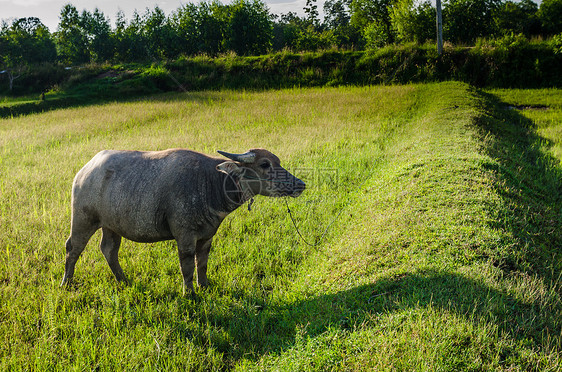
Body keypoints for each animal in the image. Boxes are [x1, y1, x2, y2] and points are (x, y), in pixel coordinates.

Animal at [60, 149, 304, 294]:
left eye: (277, 162)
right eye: (265, 164)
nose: (300, 184)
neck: (211, 182)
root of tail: (84, 171)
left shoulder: (207, 235)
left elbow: (202, 262)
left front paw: (203, 286)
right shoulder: (185, 235)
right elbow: (186, 265)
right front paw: (190, 293)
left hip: (112, 225)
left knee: (109, 249)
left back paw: (123, 280)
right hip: (83, 219)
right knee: (73, 248)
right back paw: (66, 283)